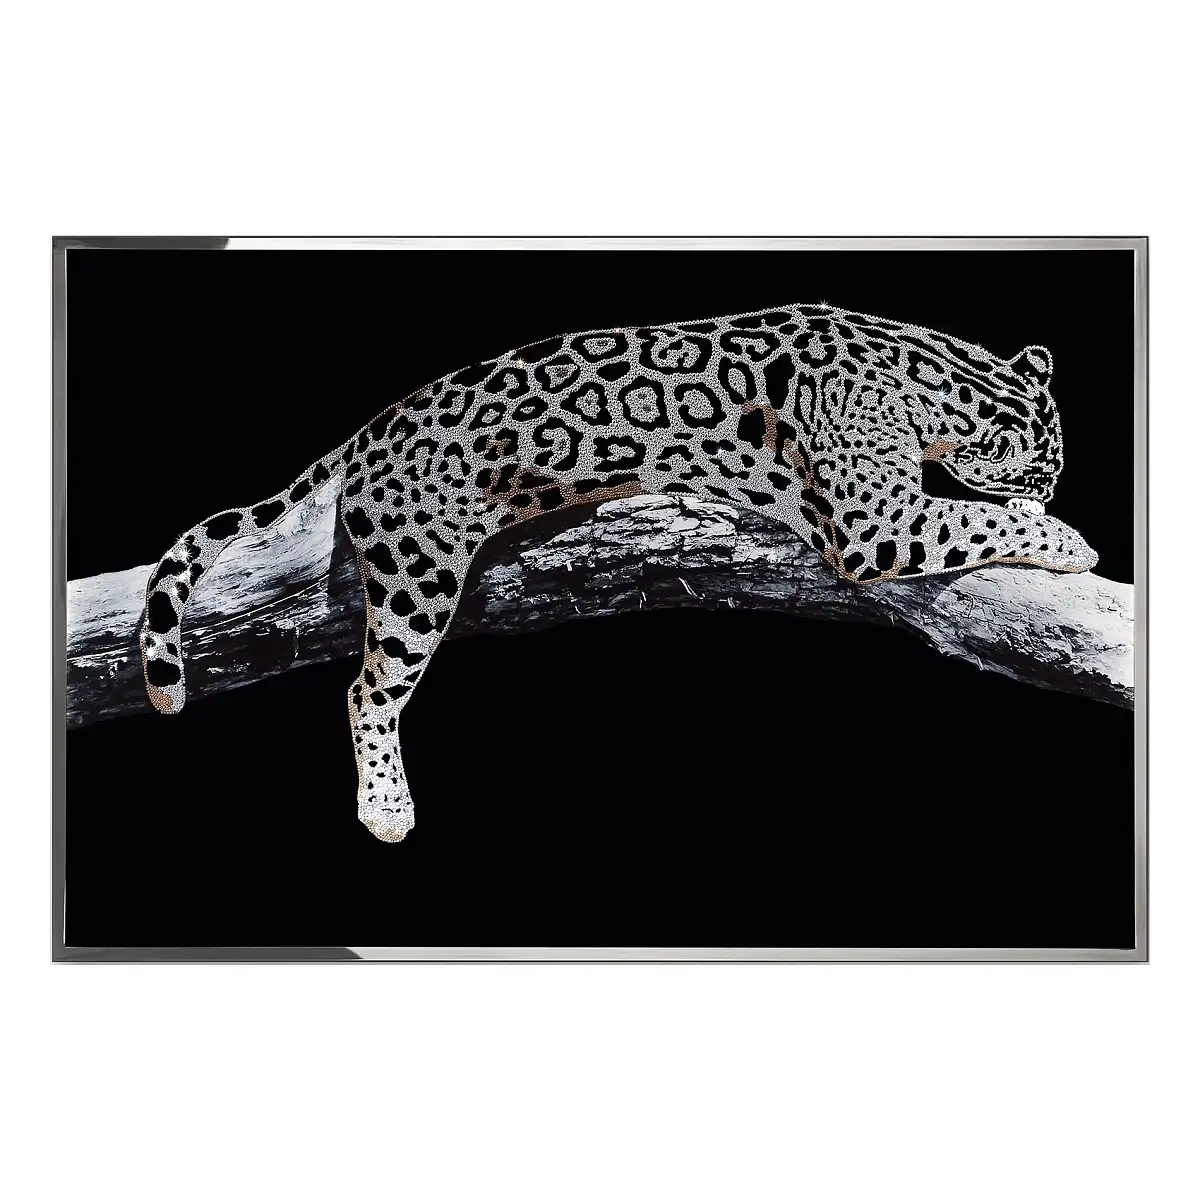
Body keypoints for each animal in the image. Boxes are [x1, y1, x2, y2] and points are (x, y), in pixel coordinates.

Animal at [138, 302, 1097, 842]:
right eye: (1046, 470)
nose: (1054, 491)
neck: (931, 375)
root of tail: (370, 428)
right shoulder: (877, 522)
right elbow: (968, 516)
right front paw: (1066, 538)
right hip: (418, 575)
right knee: (368, 689)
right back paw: (385, 809)